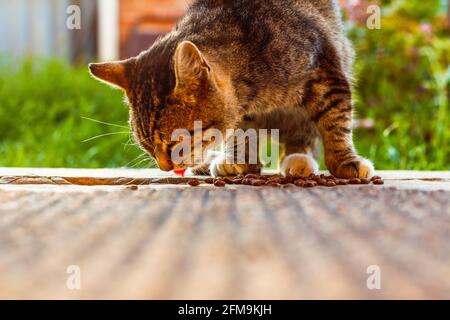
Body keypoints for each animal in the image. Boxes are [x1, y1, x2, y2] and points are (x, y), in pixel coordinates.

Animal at [89, 0, 374, 179]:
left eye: (174, 143)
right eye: (147, 146)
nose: (164, 168)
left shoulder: (326, 73)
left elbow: (335, 122)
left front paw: (344, 161)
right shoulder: (241, 112)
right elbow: (239, 132)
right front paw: (238, 160)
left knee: (303, 136)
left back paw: (298, 159)